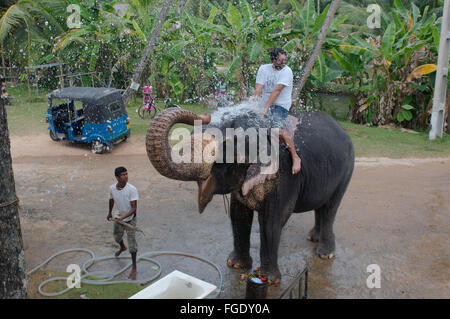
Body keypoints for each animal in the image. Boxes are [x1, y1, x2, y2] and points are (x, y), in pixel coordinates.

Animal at [147, 106, 356, 284]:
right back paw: (313, 237)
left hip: (347, 169)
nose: (205, 115)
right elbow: (238, 215)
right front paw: (235, 264)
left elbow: (271, 221)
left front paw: (269, 280)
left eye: (223, 148)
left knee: (330, 208)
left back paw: (325, 253)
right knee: (322, 207)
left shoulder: (285, 177)